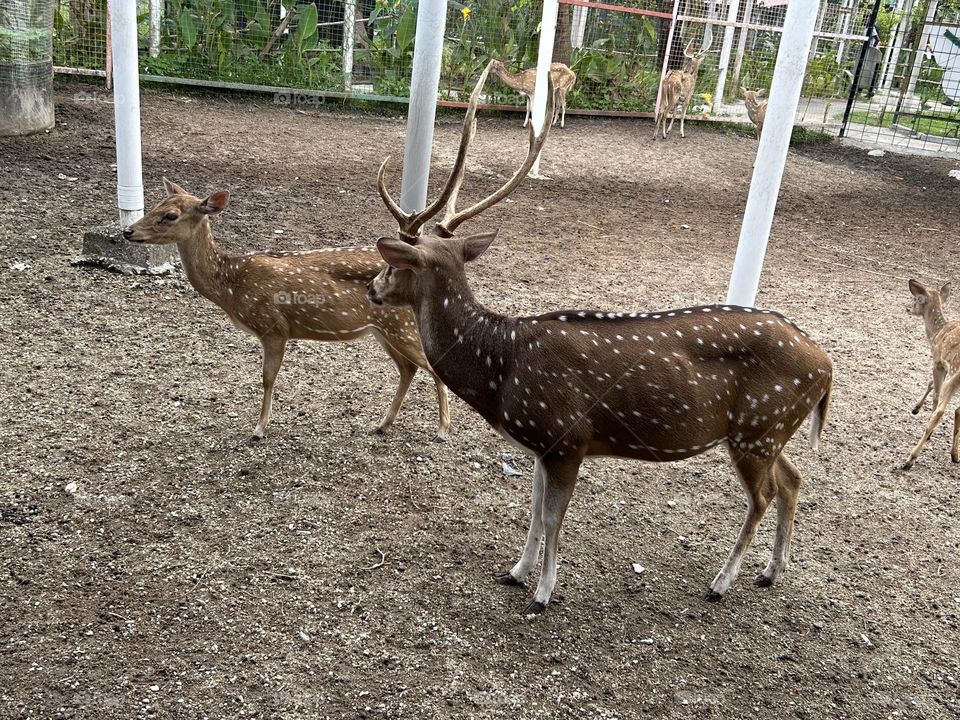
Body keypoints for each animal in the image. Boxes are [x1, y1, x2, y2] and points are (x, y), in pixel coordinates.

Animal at [122, 179, 450, 442]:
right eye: (156, 203)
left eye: (170, 215)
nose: (127, 231)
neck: (232, 286)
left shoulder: (274, 327)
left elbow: (267, 378)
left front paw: (258, 429)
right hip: (384, 331)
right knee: (407, 369)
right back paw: (382, 424)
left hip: (401, 326)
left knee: (430, 366)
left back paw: (442, 430)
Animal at [368, 60, 834, 615]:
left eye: (395, 265)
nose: (372, 287)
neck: (501, 371)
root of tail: (827, 366)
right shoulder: (541, 444)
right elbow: (532, 510)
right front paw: (515, 572)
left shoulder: (567, 437)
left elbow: (552, 518)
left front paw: (543, 593)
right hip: (769, 430)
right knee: (793, 479)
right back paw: (771, 572)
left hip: (758, 425)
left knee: (762, 496)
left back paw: (721, 581)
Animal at [903, 279, 960, 469]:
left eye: (916, 299)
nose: (908, 309)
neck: (936, 333)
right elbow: (930, 384)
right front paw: (916, 408)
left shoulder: (938, 362)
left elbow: (935, 391)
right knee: (958, 410)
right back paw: (955, 455)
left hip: (954, 374)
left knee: (941, 411)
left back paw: (910, 459)